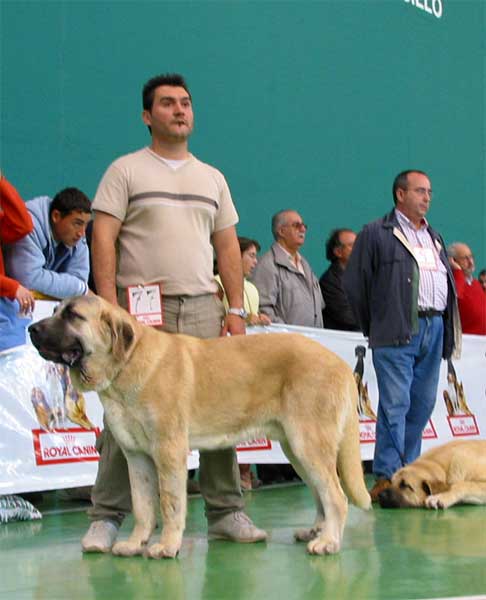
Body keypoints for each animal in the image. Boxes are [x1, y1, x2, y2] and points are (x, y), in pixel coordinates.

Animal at [29, 296, 372, 556]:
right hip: (296, 449)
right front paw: (136, 543)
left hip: (307, 443)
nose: (31, 328)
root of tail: (340, 364)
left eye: (72, 315)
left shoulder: (168, 452)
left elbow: (169, 503)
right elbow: (142, 506)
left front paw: (167, 546)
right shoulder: (137, 458)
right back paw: (317, 531)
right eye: (56, 310)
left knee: (336, 496)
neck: (125, 364)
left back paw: (328, 542)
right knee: (322, 494)